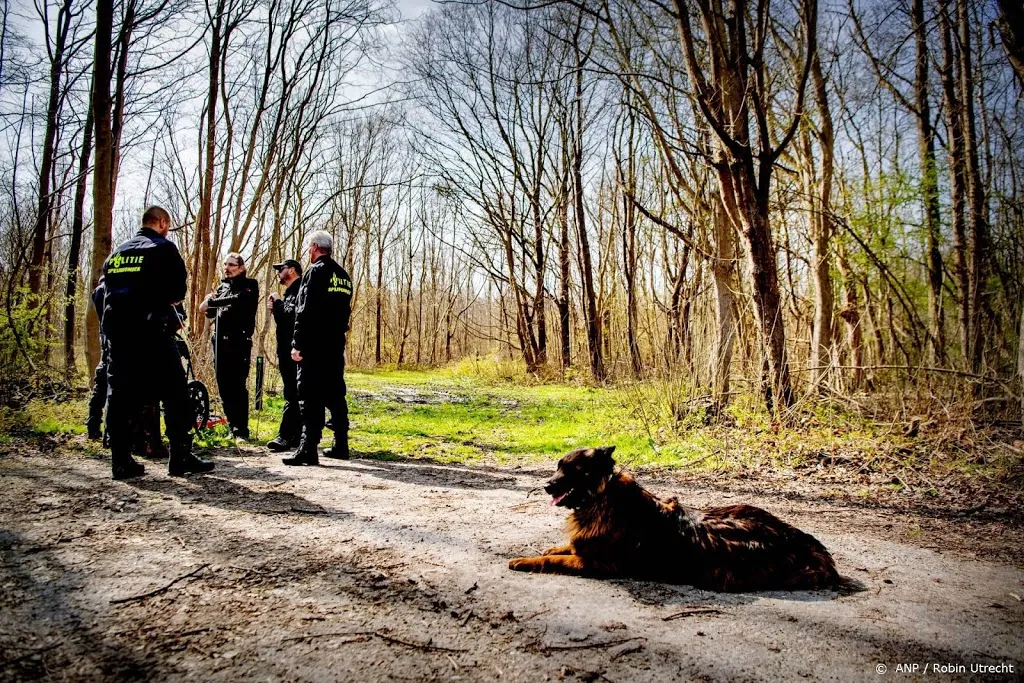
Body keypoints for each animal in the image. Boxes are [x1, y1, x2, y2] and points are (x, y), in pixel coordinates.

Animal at [505, 446, 847, 589]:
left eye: (572, 469)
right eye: (557, 466)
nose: (547, 486)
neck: (602, 497)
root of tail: (796, 538)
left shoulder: (595, 563)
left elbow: (554, 559)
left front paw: (525, 560)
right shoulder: (584, 547)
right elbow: (563, 547)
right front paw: (551, 546)